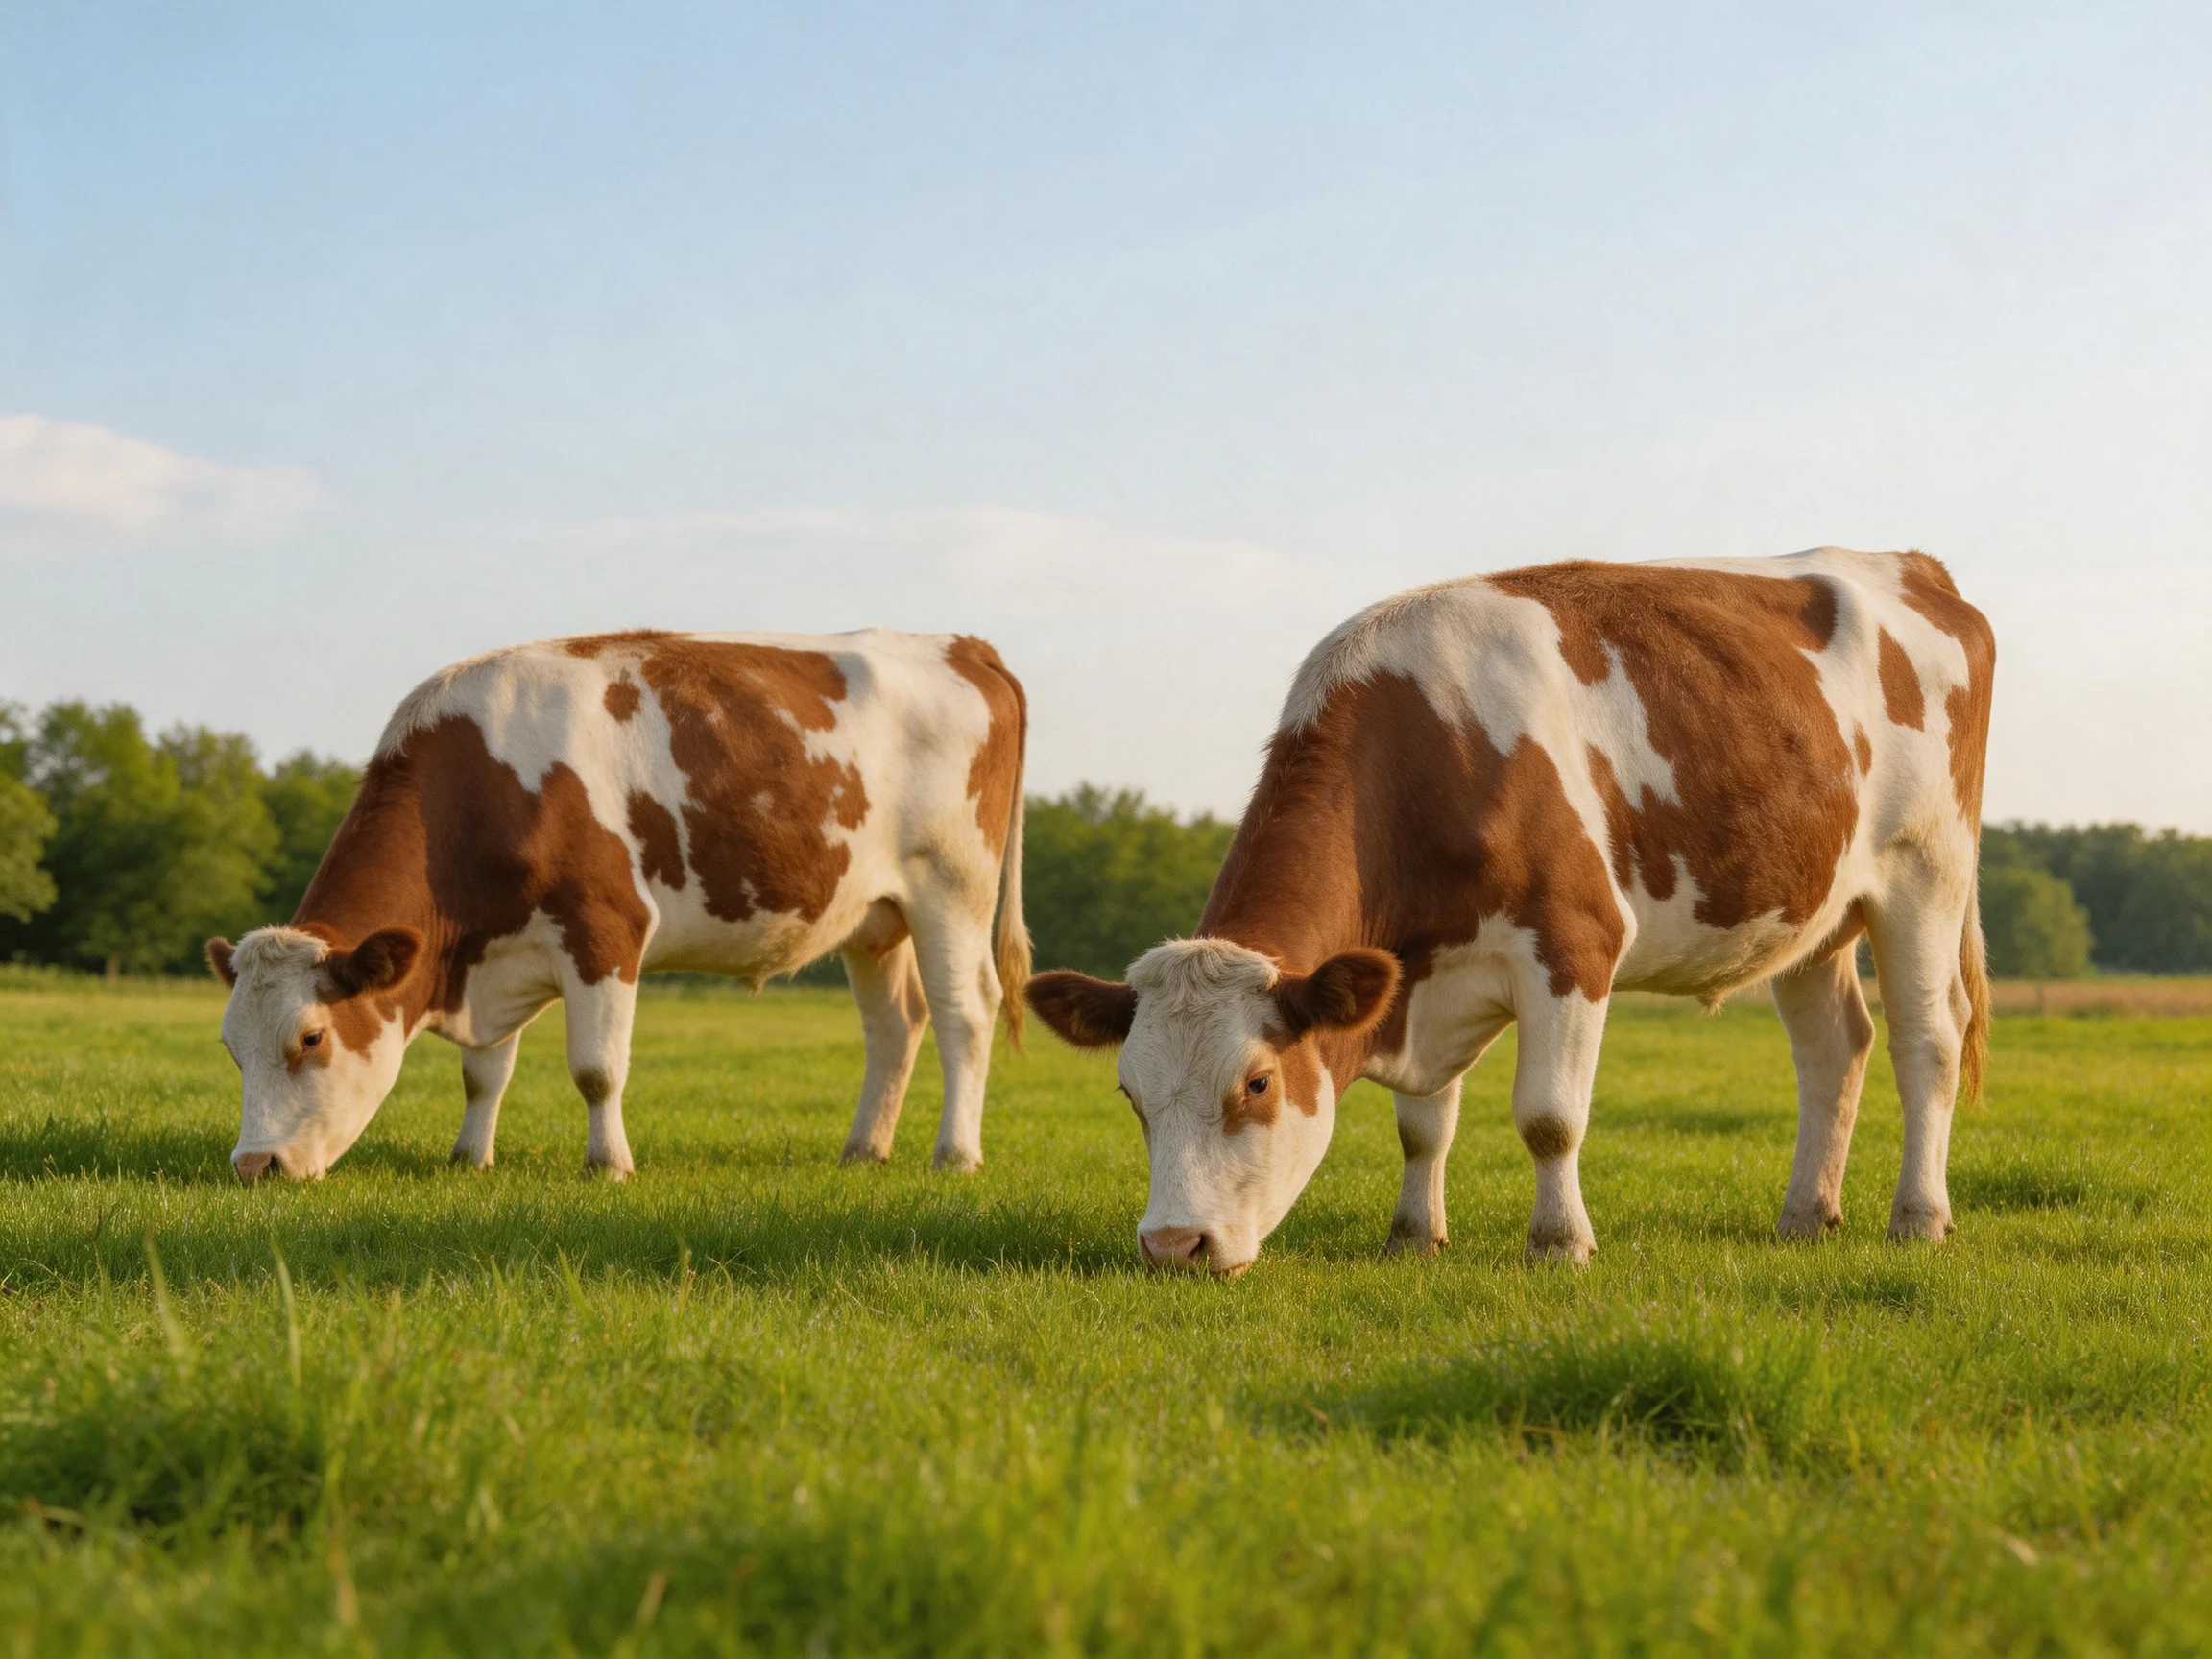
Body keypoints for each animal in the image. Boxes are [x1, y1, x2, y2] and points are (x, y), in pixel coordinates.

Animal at [206, 629, 1029, 1182]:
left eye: (311, 1038)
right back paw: (864, 1149)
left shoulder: (605, 928)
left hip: (950, 888)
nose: (253, 1166)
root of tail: (962, 644)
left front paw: (608, 1165)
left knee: (966, 1013)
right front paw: (470, 1157)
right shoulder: (494, 952)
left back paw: (955, 1154)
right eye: (230, 1047)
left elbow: (597, 1069)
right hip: (874, 916)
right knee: (895, 1024)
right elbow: (484, 1073)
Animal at [1027, 550, 1995, 1274]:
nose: (1172, 1245)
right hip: (1813, 911)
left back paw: (1918, 1216)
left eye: (1258, 1083)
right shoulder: (1415, 975)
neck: (1431, 751)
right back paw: (1805, 1214)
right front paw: (1414, 1235)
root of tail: (1910, 564)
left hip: (1926, 873)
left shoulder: (1573, 944)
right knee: (1834, 1049)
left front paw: (1560, 1243)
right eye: (1129, 1091)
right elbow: (1423, 1127)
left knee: (1927, 1041)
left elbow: (1548, 1117)